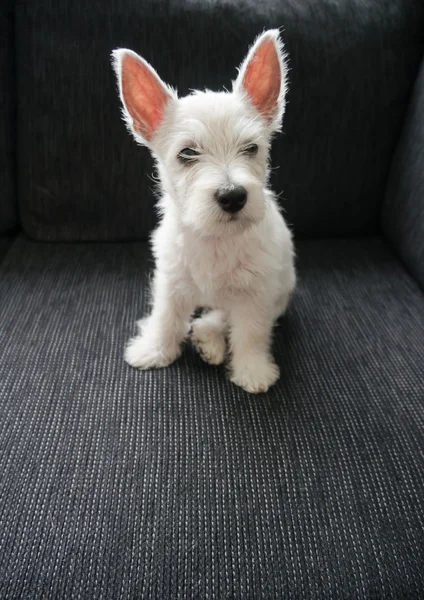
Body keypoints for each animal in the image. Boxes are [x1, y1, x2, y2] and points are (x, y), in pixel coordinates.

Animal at [112, 29, 294, 394]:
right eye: (187, 153)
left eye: (251, 148)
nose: (233, 196)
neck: (215, 238)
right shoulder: (170, 280)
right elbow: (166, 317)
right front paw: (154, 349)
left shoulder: (257, 294)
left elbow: (251, 333)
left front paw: (252, 370)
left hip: (281, 291)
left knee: (222, 316)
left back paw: (208, 337)